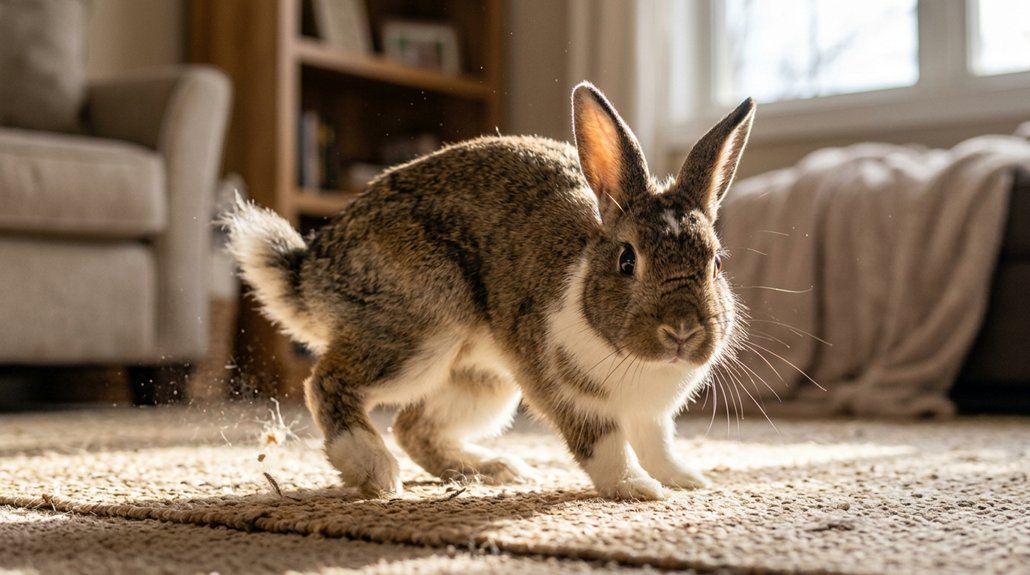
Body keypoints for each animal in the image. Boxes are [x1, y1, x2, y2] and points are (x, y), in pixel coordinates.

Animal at [223, 82, 755, 500]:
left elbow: (657, 444)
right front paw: (639, 489)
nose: (681, 330)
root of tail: (314, 270)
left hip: (483, 380)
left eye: (716, 263)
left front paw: (687, 480)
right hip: (418, 338)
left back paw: (493, 470)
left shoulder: (651, 415)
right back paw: (375, 470)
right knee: (328, 382)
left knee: (413, 427)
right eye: (628, 260)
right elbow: (604, 446)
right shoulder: (570, 396)